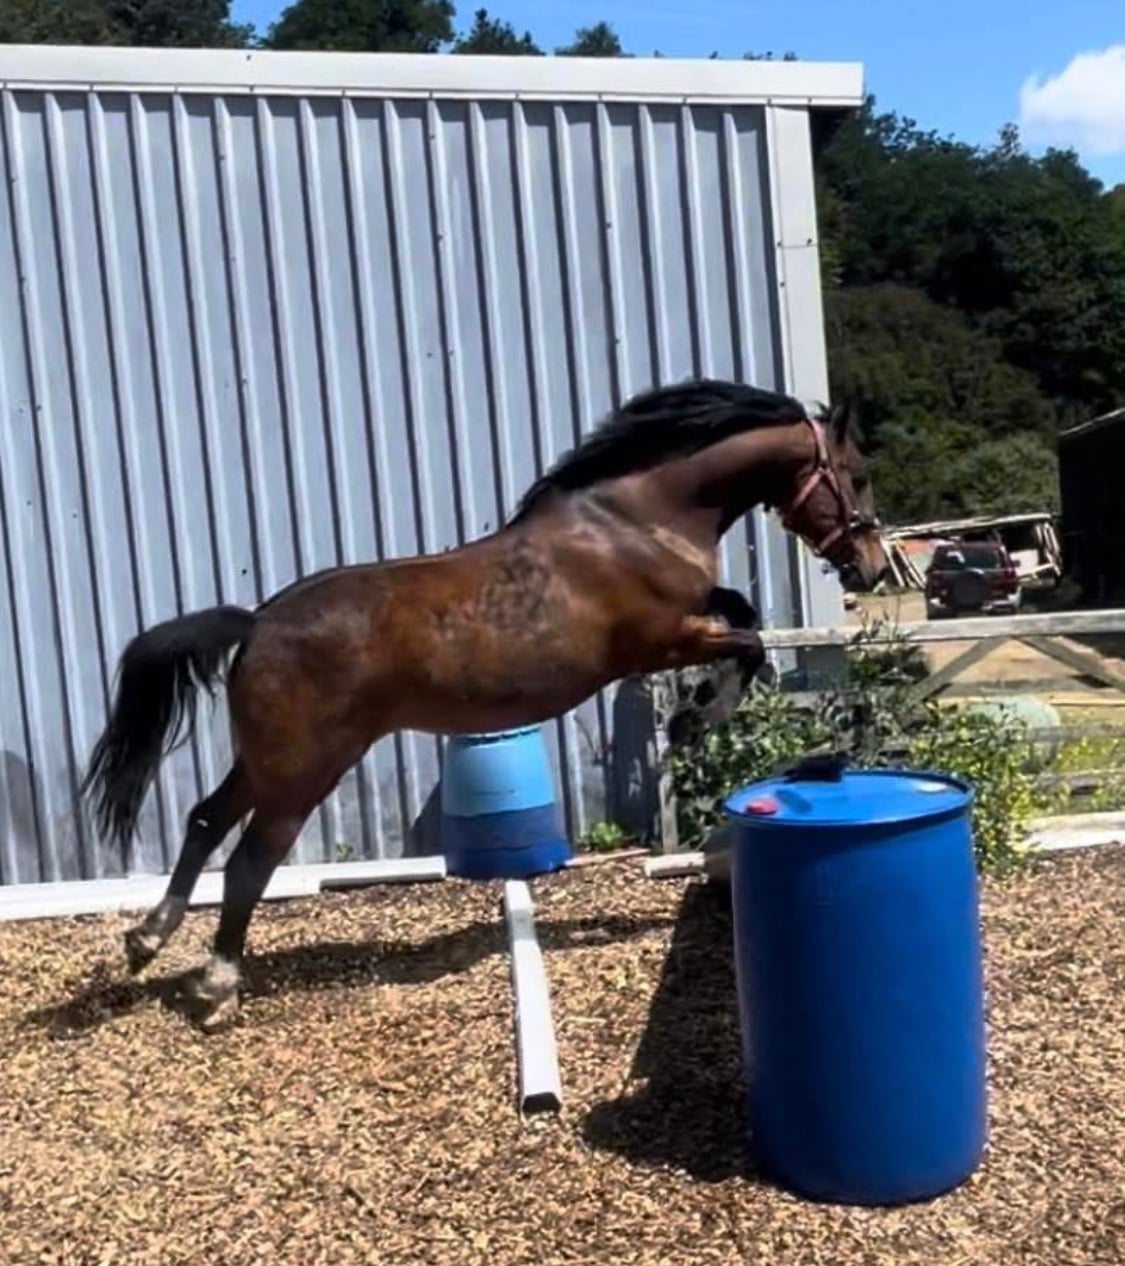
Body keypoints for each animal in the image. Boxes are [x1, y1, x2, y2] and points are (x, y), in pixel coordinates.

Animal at [81, 378, 889, 1031]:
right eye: (855, 476)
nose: (873, 570)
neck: (632, 522)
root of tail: (255, 624)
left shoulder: (690, 615)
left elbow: (742, 612)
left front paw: (693, 713)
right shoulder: (658, 642)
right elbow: (747, 642)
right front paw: (694, 717)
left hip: (266, 761)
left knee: (204, 819)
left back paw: (147, 941)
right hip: (306, 769)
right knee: (250, 860)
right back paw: (216, 987)